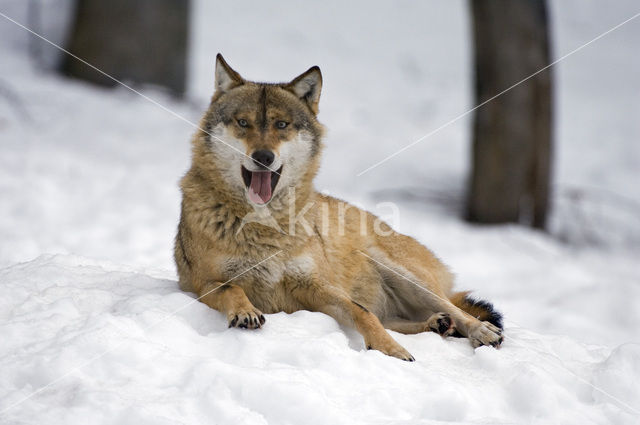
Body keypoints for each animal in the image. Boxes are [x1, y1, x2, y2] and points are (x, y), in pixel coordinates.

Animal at [175, 52, 504, 358]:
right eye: (243, 123)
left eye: (282, 125)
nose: (263, 157)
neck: (265, 228)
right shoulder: (204, 284)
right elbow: (232, 288)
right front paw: (245, 312)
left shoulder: (315, 285)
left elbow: (362, 312)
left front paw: (390, 350)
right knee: (401, 318)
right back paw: (438, 324)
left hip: (402, 272)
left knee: (450, 309)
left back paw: (480, 330)